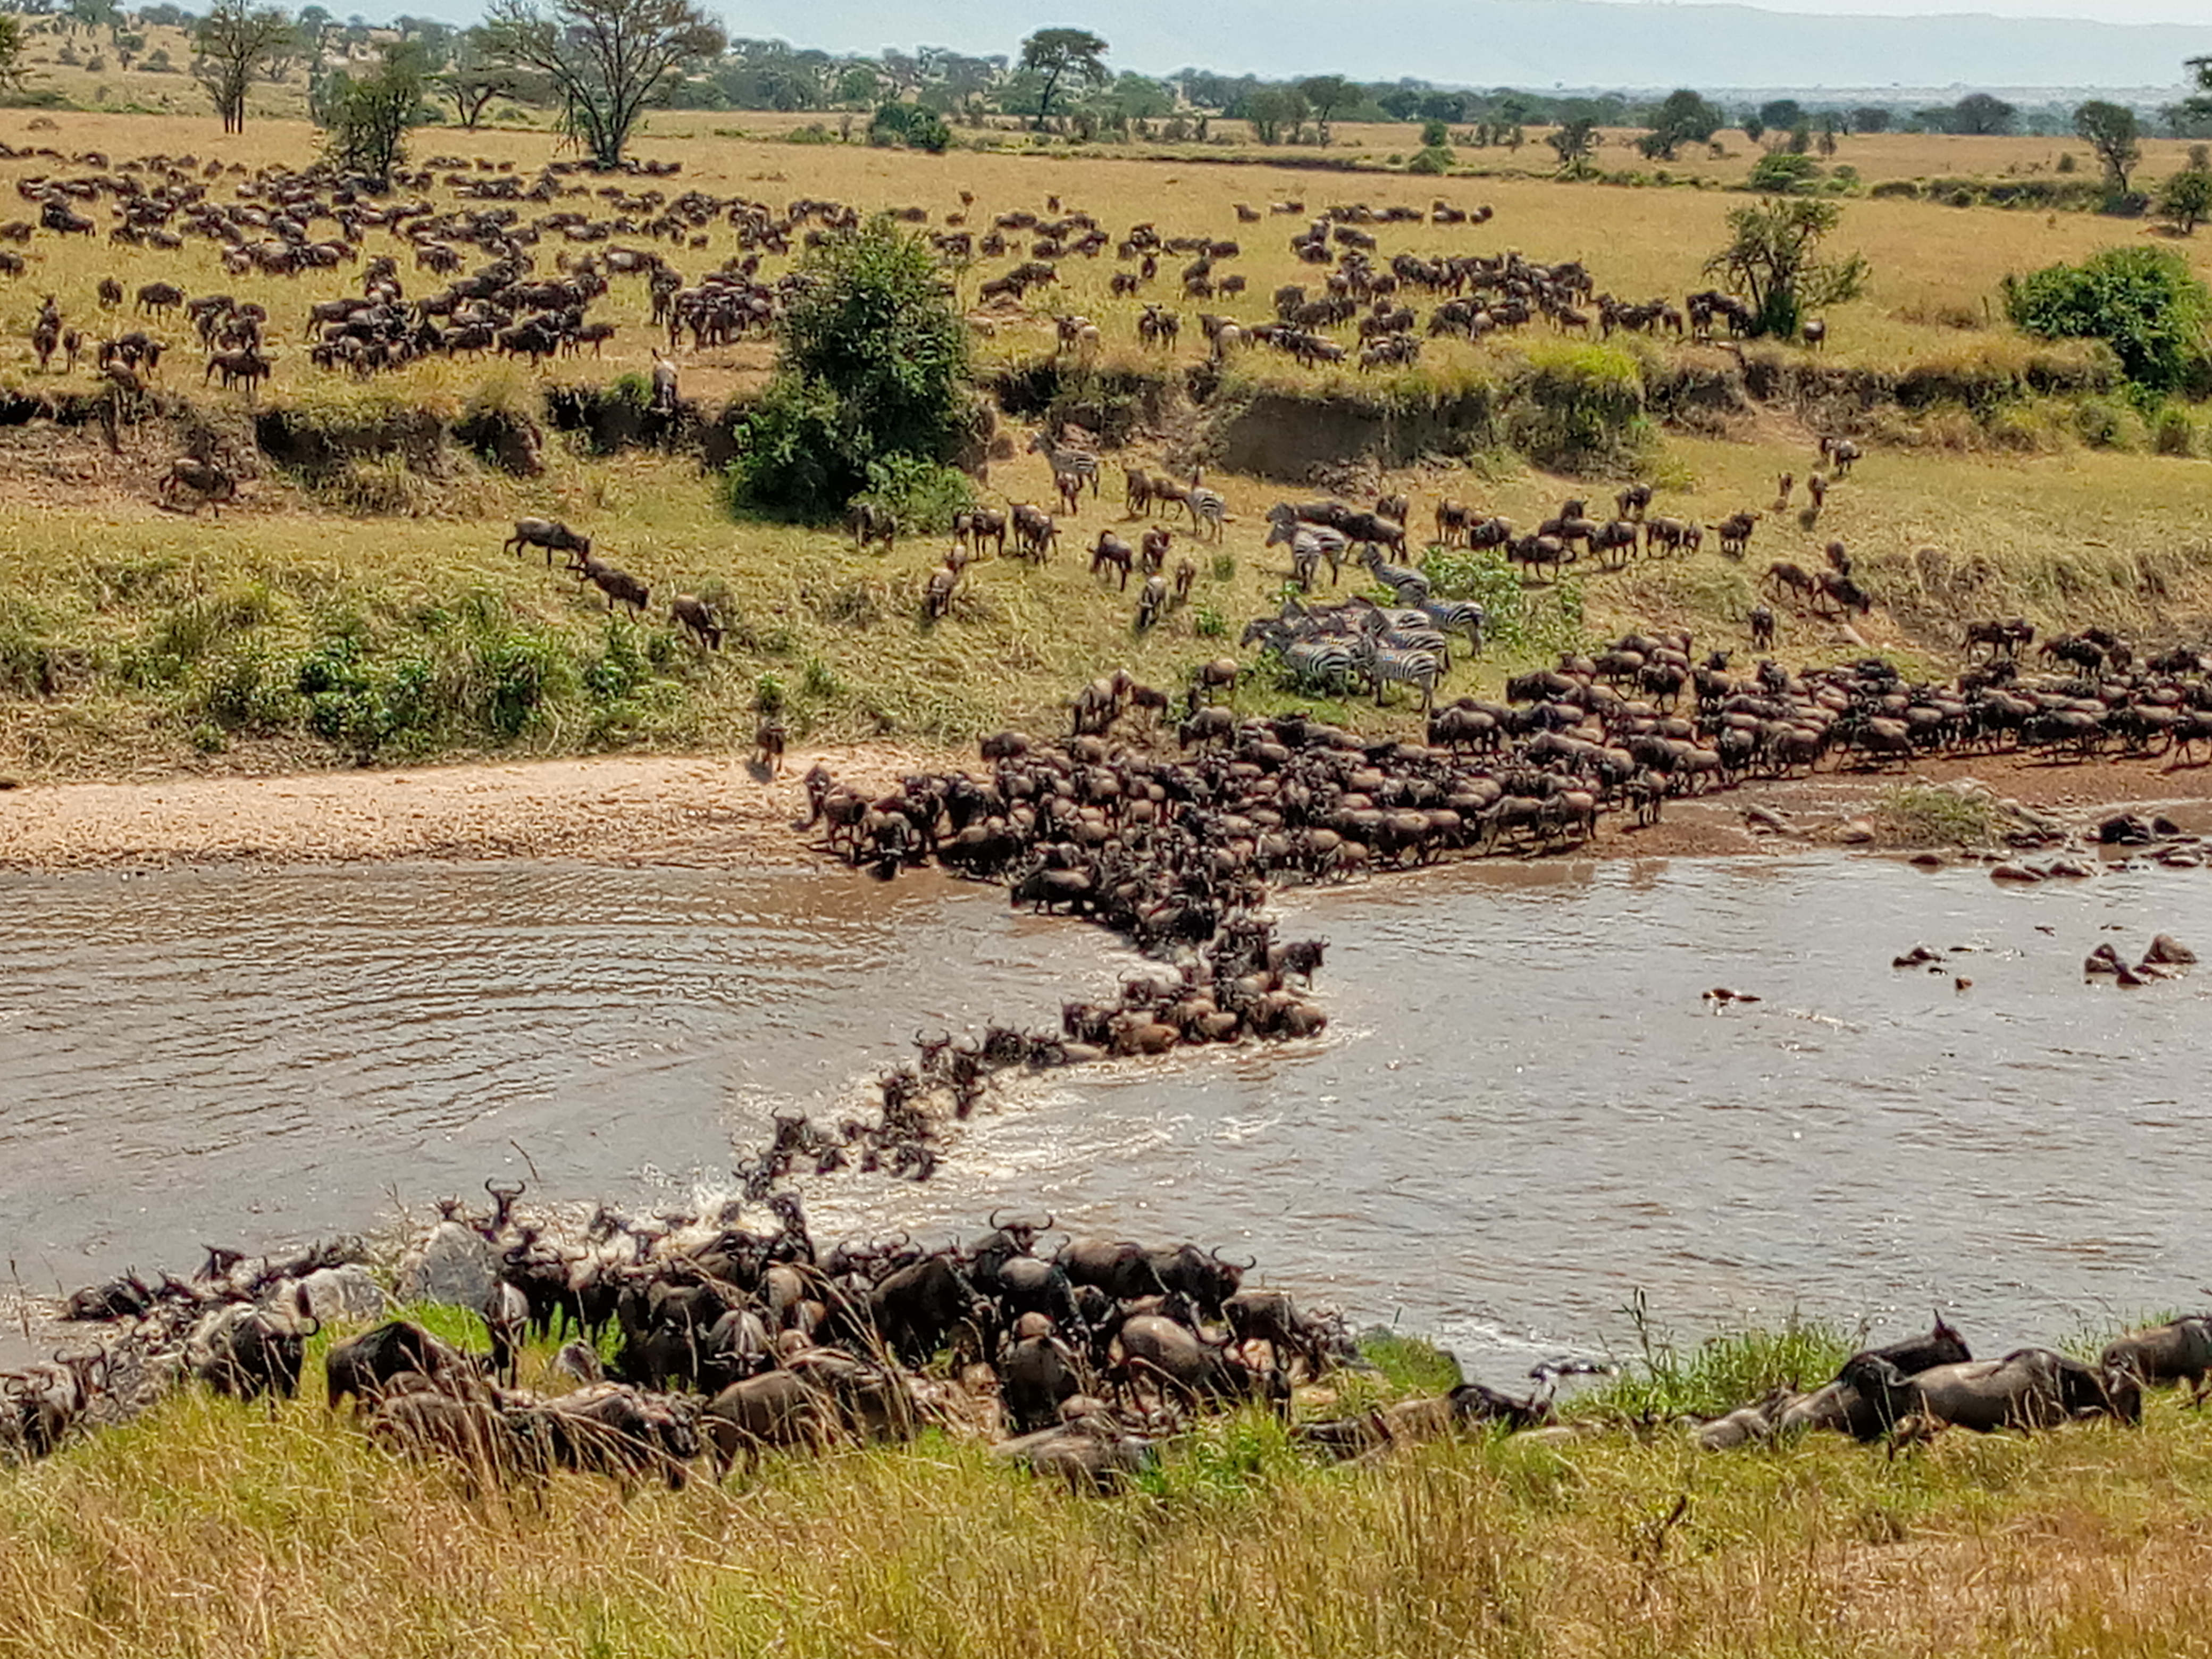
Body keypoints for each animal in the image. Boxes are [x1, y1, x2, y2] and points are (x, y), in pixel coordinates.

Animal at [1026, 431, 1097, 497]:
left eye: (1035, 441)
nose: (1028, 451)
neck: (1052, 452)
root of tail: (1093, 459)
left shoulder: (1055, 468)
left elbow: (1056, 479)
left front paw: (1054, 489)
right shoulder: (1062, 470)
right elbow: (1061, 479)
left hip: (1081, 472)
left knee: (1085, 484)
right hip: (1088, 473)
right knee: (1092, 483)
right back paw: (1093, 498)